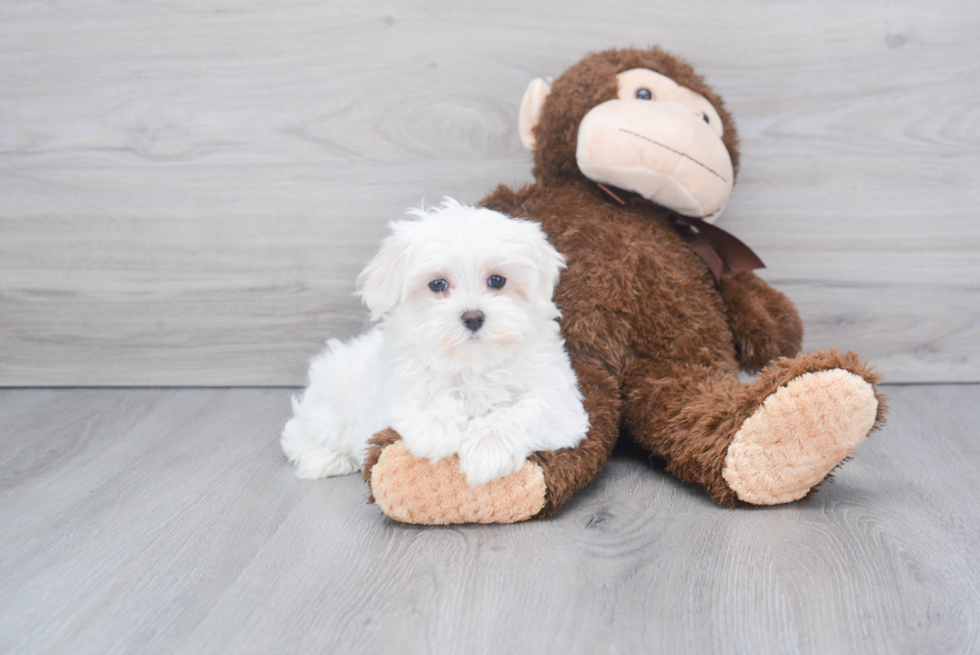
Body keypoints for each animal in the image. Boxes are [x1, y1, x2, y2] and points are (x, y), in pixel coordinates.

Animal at [284, 200, 588, 486]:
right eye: (438, 284)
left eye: (497, 280)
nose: (473, 317)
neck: (472, 363)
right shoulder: (393, 390)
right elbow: (419, 398)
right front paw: (437, 429)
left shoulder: (559, 402)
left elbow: (526, 410)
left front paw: (486, 448)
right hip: (329, 406)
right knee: (301, 433)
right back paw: (325, 458)